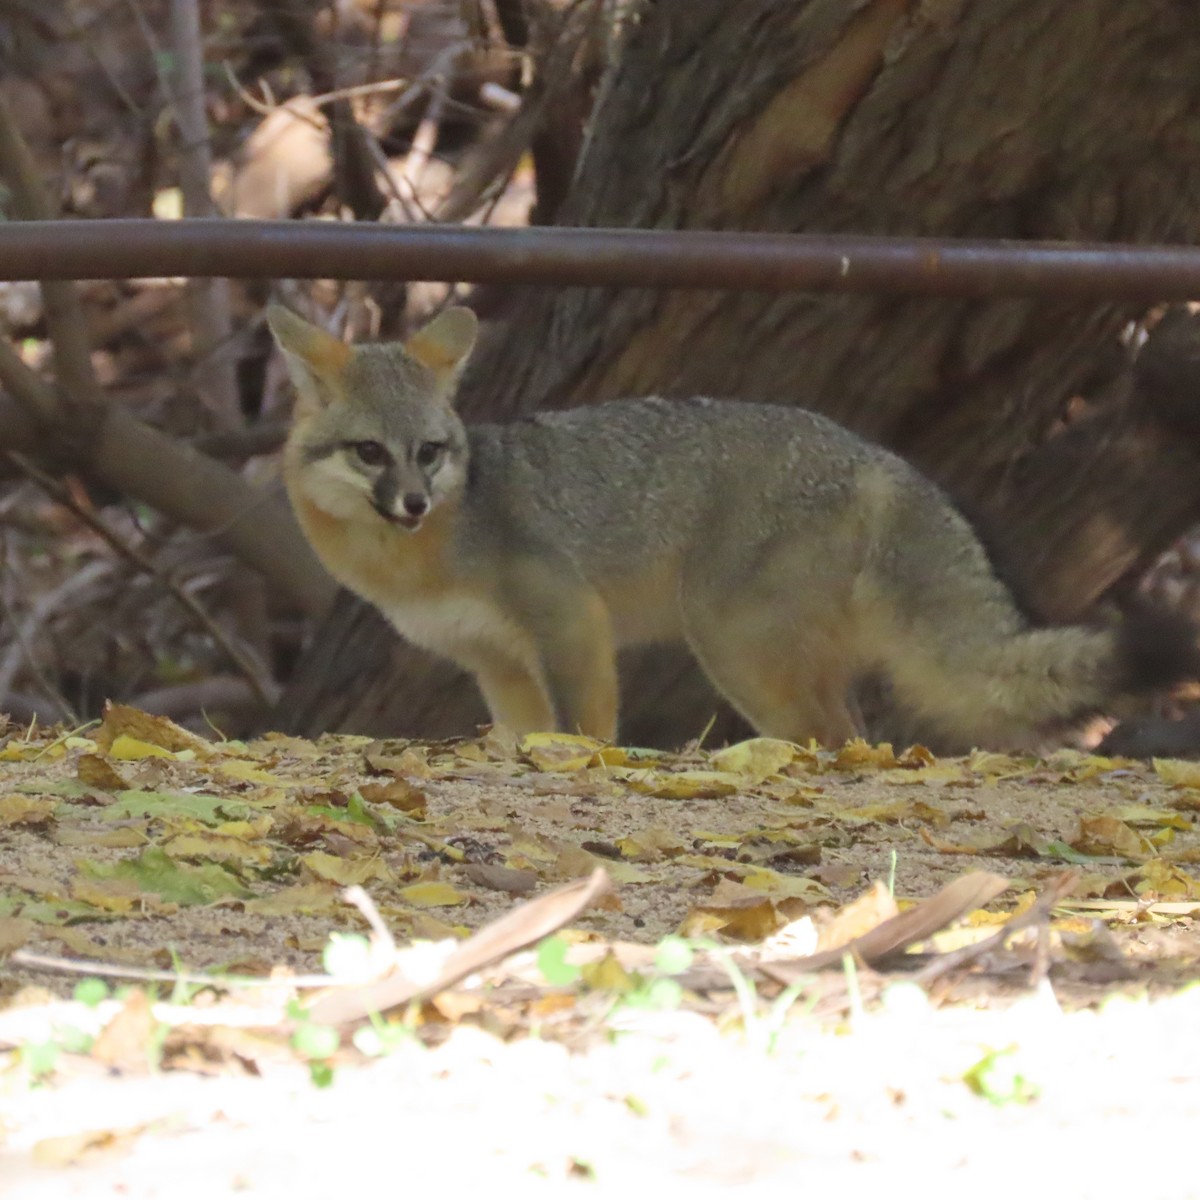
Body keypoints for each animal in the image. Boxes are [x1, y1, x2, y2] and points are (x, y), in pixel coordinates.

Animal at [268, 302, 1200, 751]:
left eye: (428, 452)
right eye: (369, 453)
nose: (414, 504)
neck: (423, 558)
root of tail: (876, 455)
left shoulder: (570, 620)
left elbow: (583, 731)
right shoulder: (494, 662)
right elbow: (527, 736)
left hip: (729, 643)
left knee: (836, 739)